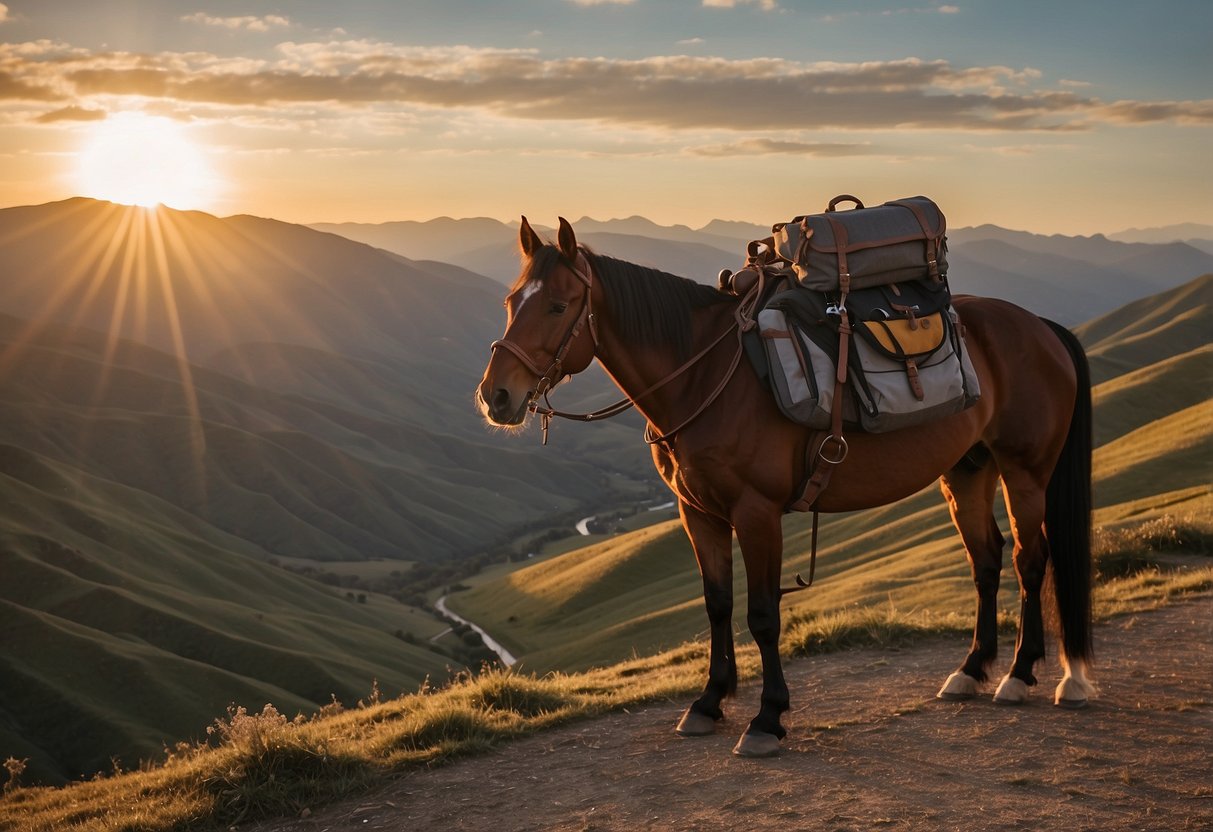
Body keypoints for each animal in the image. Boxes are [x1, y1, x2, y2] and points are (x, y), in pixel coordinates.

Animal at [475, 218, 1101, 761]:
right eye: (510, 303)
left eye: (558, 306)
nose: (496, 397)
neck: (702, 378)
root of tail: (1040, 326)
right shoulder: (697, 514)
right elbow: (717, 605)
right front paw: (708, 702)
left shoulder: (757, 514)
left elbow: (762, 616)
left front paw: (767, 718)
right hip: (968, 470)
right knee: (986, 560)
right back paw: (972, 670)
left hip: (1025, 472)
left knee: (1029, 560)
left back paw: (1021, 674)